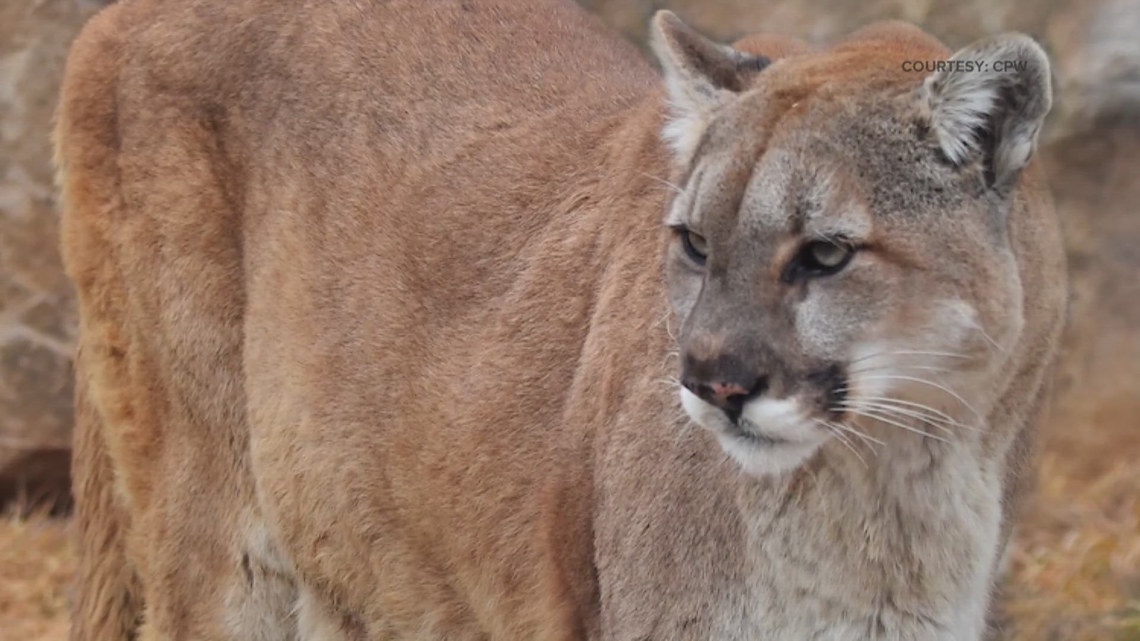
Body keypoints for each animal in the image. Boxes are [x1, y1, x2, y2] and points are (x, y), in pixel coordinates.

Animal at [54, 0, 1067, 639]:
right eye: (695, 241)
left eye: (823, 253)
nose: (711, 382)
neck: (894, 484)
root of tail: (116, 12)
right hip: (223, 538)